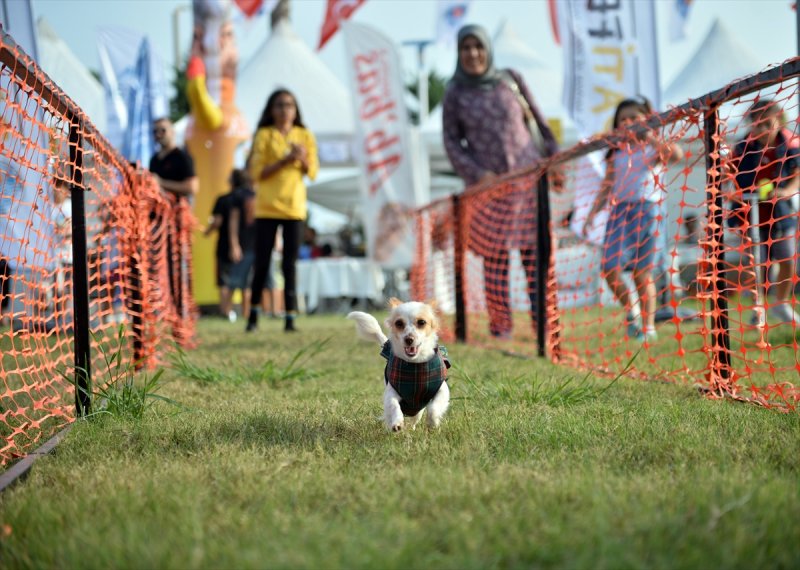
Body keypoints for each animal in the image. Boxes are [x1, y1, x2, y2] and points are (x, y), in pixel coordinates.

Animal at [347, 298, 451, 432]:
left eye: (422, 322)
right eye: (399, 323)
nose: (409, 339)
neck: (414, 365)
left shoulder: (442, 389)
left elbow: (433, 408)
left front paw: (432, 423)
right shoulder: (391, 391)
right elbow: (394, 405)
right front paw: (397, 423)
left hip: (418, 410)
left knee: (415, 418)